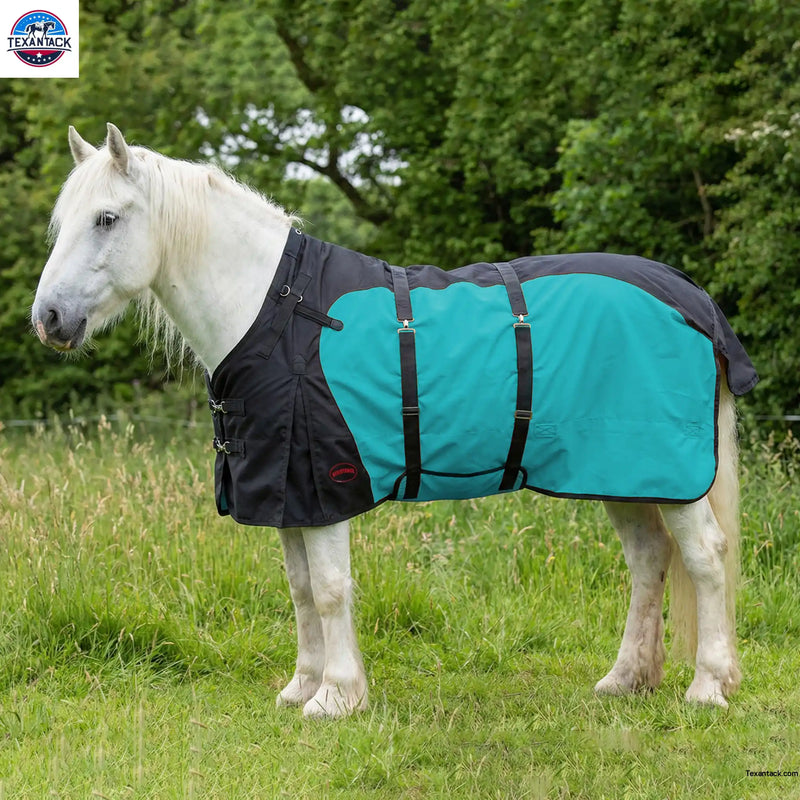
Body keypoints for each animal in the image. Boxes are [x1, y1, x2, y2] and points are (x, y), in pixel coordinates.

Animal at [32, 123, 753, 719]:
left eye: (106, 218)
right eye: (60, 222)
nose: (48, 319)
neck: (280, 316)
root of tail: (691, 298)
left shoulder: (323, 485)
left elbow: (328, 589)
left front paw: (335, 697)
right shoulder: (285, 493)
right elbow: (299, 590)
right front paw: (302, 686)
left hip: (667, 471)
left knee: (705, 557)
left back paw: (708, 686)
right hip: (623, 472)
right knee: (649, 558)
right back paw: (627, 679)